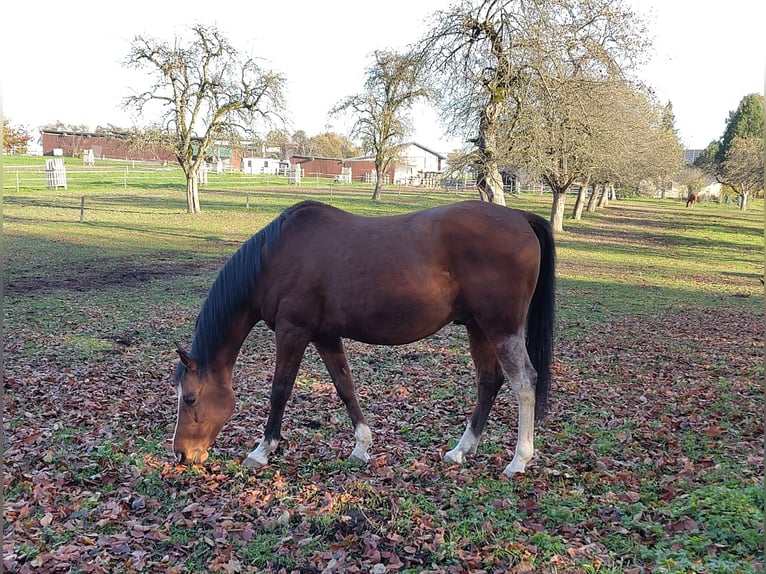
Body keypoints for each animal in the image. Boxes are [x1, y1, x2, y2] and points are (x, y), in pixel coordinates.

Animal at [172, 200, 555, 478]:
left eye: (190, 399)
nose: (182, 455)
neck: (275, 256)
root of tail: (520, 217)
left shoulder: (293, 330)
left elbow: (280, 391)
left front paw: (262, 450)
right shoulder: (324, 335)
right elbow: (345, 387)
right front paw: (361, 446)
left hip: (501, 328)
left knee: (524, 383)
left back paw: (519, 460)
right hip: (478, 326)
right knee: (489, 381)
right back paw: (461, 450)